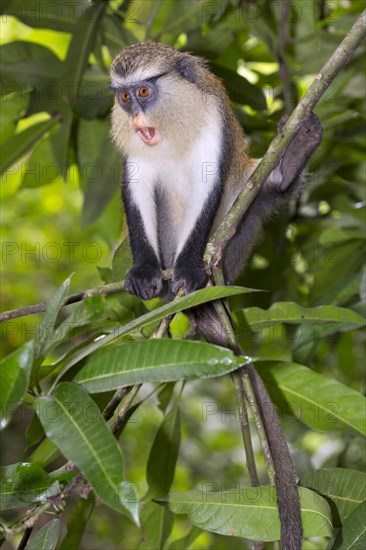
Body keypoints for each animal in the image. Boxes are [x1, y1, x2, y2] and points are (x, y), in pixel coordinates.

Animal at [108, 41, 324, 548]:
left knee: (253, 191)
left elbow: (209, 183)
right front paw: (144, 272)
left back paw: (286, 167)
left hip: (238, 228)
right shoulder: (134, 154)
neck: (170, 125)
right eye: (124, 97)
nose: (135, 118)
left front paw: (189, 270)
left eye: (144, 91)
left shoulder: (211, 122)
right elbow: (138, 188)